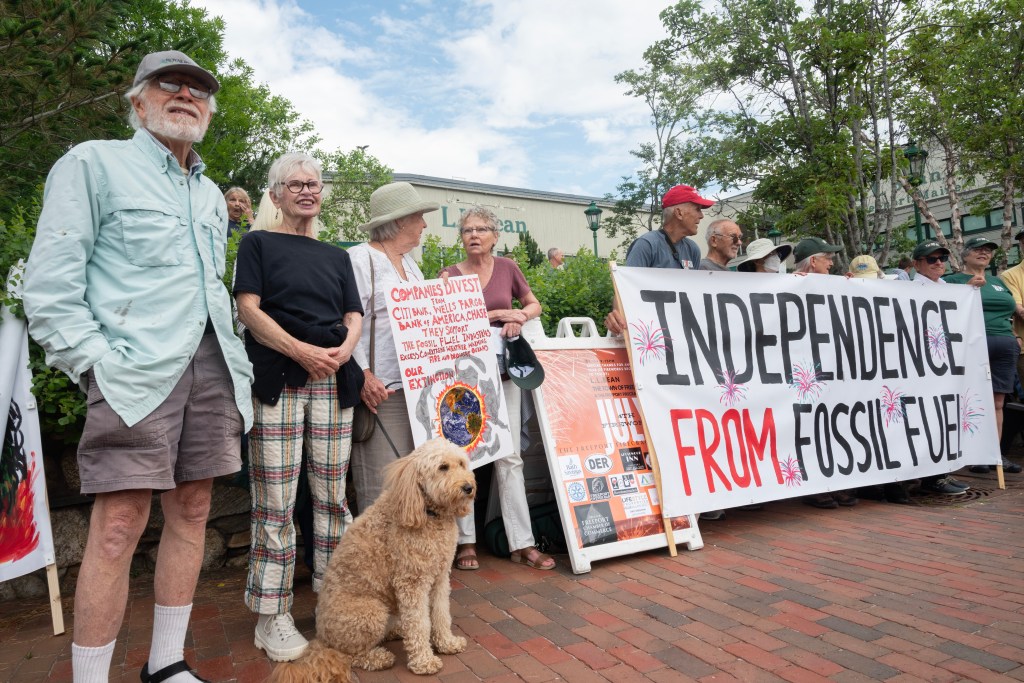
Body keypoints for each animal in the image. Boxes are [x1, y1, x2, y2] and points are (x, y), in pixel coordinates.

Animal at [272, 438, 479, 683]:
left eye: (461, 464)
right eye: (443, 467)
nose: (468, 487)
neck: (428, 512)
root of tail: (321, 639)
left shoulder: (439, 579)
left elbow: (440, 614)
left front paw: (447, 643)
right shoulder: (412, 583)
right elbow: (419, 624)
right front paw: (424, 661)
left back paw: (396, 631)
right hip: (371, 612)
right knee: (351, 655)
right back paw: (379, 657)